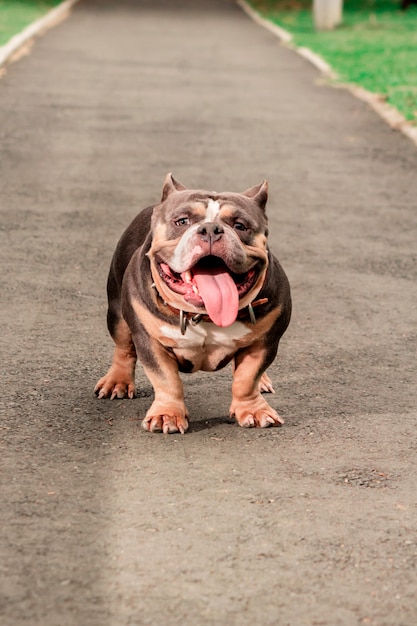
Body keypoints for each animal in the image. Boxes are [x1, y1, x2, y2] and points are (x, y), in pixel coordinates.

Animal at [94, 173, 290, 432]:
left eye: (240, 226)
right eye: (182, 221)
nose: (211, 229)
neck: (203, 315)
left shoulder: (265, 340)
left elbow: (247, 377)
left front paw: (253, 409)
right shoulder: (149, 340)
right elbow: (166, 379)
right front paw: (167, 415)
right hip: (116, 312)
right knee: (124, 347)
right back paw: (117, 381)